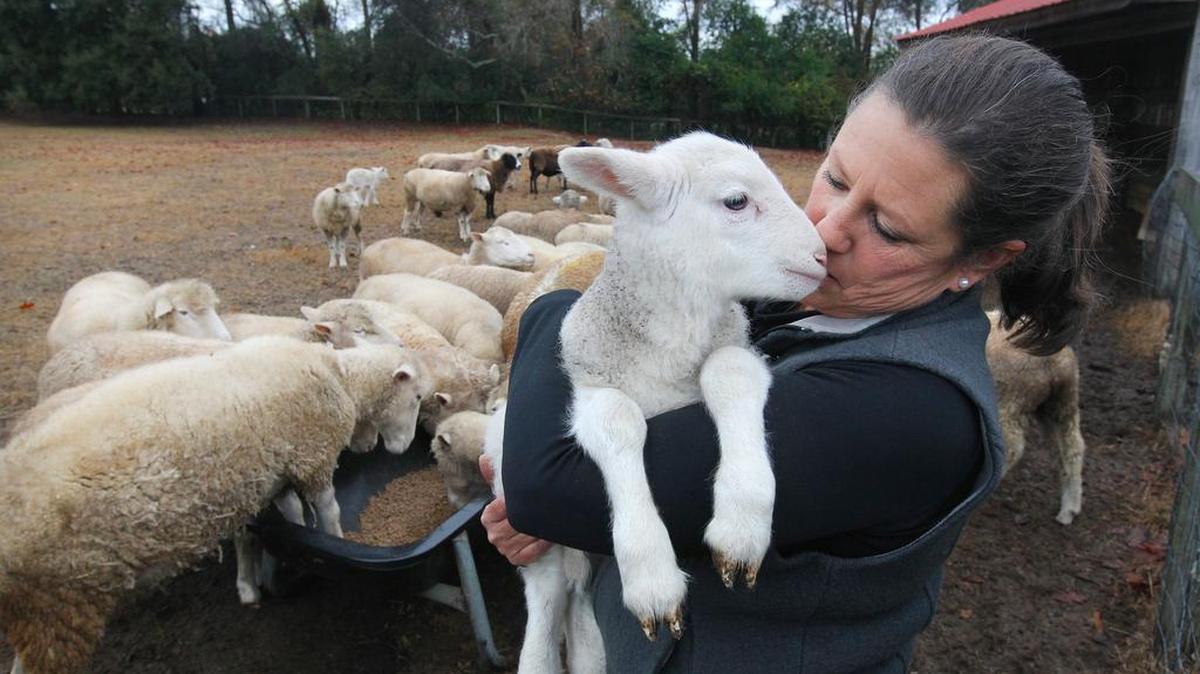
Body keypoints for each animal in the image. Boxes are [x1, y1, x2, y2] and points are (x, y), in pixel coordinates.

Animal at [0, 338, 428, 674]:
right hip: (58, 602)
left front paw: (275, 568)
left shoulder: (274, 473)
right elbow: (328, 510)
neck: (340, 377)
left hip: (38, 608)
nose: (405, 448)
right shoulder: (312, 457)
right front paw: (335, 544)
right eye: (418, 397)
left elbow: (285, 520)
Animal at [485, 132, 827, 669]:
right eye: (736, 201)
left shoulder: (734, 345)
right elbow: (618, 420)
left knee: (580, 611)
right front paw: (651, 579)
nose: (822, 257)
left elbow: (730, 372)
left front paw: (741, 525)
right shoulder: (590, 388)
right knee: (548, 602)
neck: (670, 350)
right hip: (531, 526)